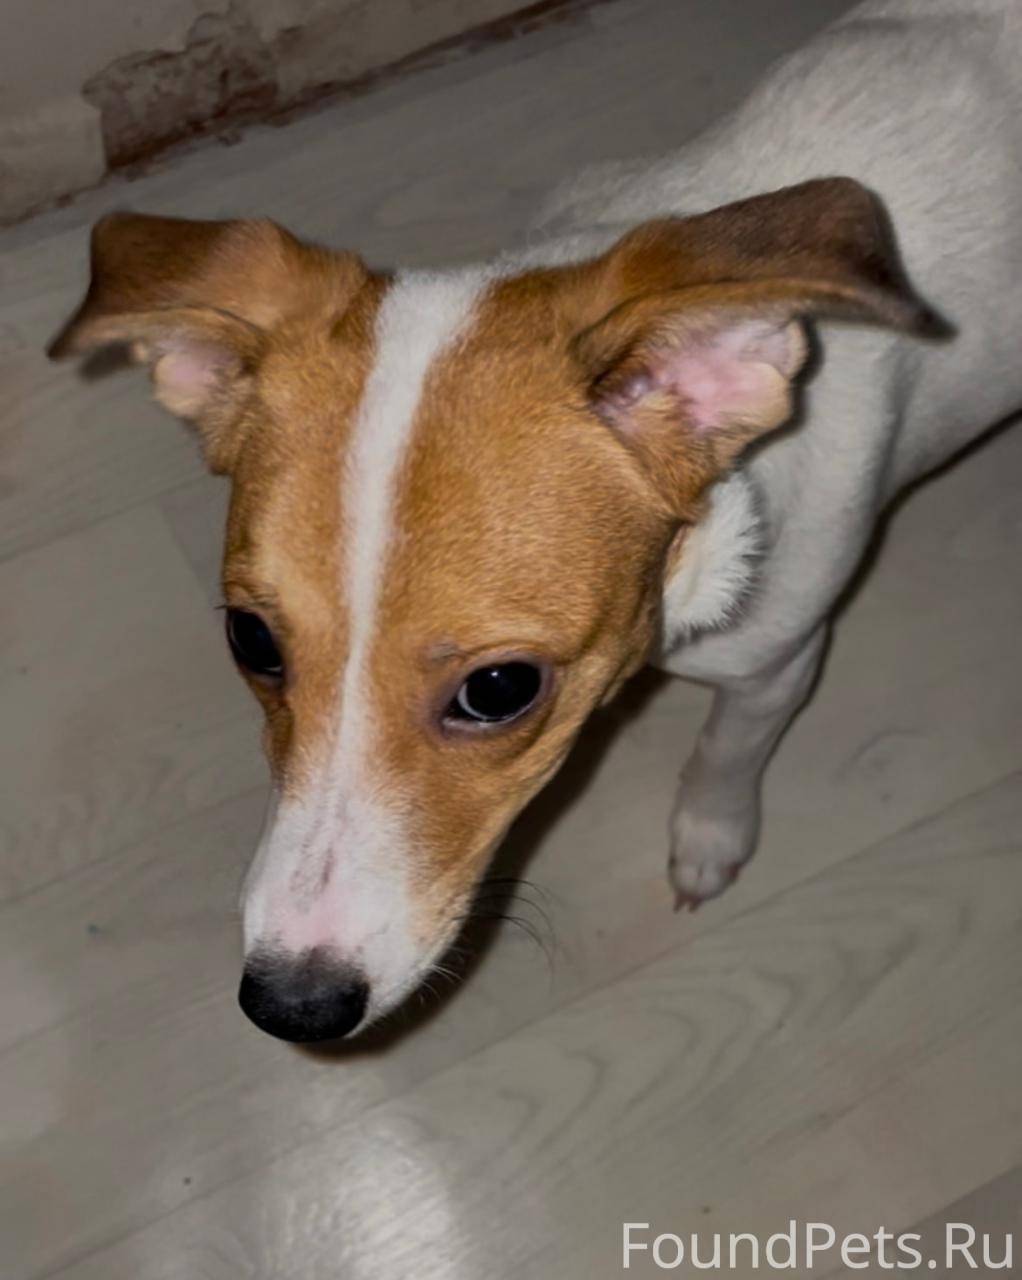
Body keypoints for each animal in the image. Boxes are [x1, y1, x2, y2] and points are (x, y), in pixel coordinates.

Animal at [49, 0, 1022, 1042]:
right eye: (250, 640)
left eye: (500, 689)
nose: (290, 1007)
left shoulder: (776, 663)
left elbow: (725, 755)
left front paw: (708, 840)